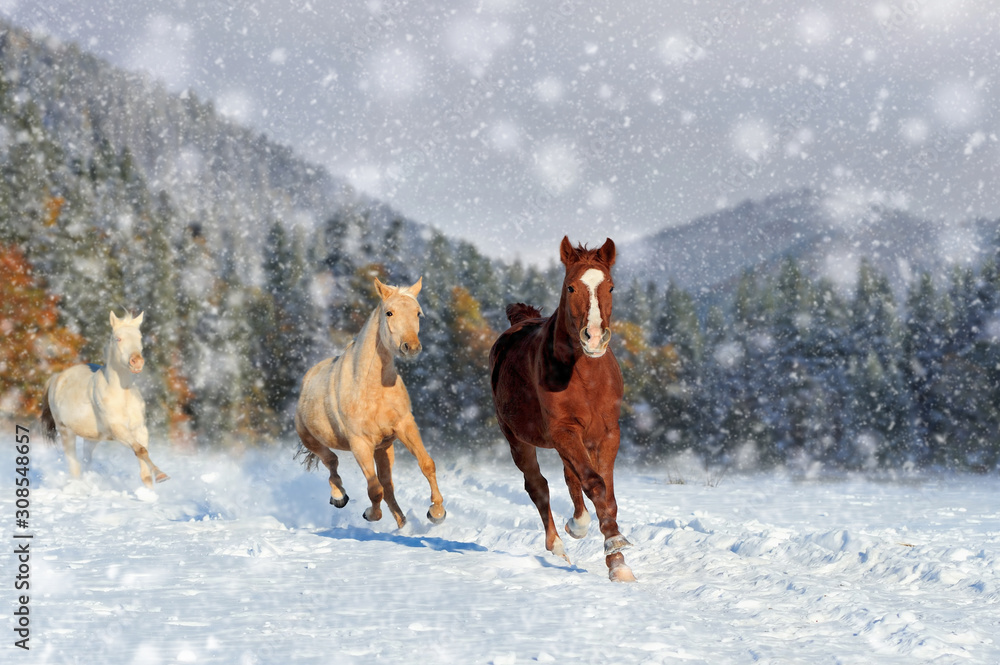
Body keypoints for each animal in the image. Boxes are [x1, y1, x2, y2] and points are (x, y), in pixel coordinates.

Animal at [40, 312, 170, 488]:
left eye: (140, 337)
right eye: (118, 338)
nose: (137, 362)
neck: (122, 395)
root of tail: (56, 378)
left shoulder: (140, 429)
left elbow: (144, 465)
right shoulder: (118, 430)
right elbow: (141, 450)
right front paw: (162, 475)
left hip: (91, 438)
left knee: (86, 462)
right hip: (66, 431)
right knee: (74, 466)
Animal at [294, 278, 448, 528]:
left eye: (418, 313)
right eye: (389, 312)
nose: (411, 347)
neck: (371, 388)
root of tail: (307, 380)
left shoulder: (404, 426)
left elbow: (426, 464)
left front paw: (436, 512)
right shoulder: (360, 444)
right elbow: (374, 489)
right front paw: (370, 514)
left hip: (383, 448)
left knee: (387, 485)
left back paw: (403, 525)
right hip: (311, 440)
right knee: (332, 461)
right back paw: (338, 497)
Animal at [490, 236, 632, 580]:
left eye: (610, 287)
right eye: (570, 287)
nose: (594, 338)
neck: (586, 376)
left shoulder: (607, 434)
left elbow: (605, 491)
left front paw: (618, 563)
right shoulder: (564, 430)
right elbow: (594, 484)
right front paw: (614, 548)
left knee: (569, 478)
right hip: (517, 438)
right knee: (537, 486)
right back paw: (558, 545)